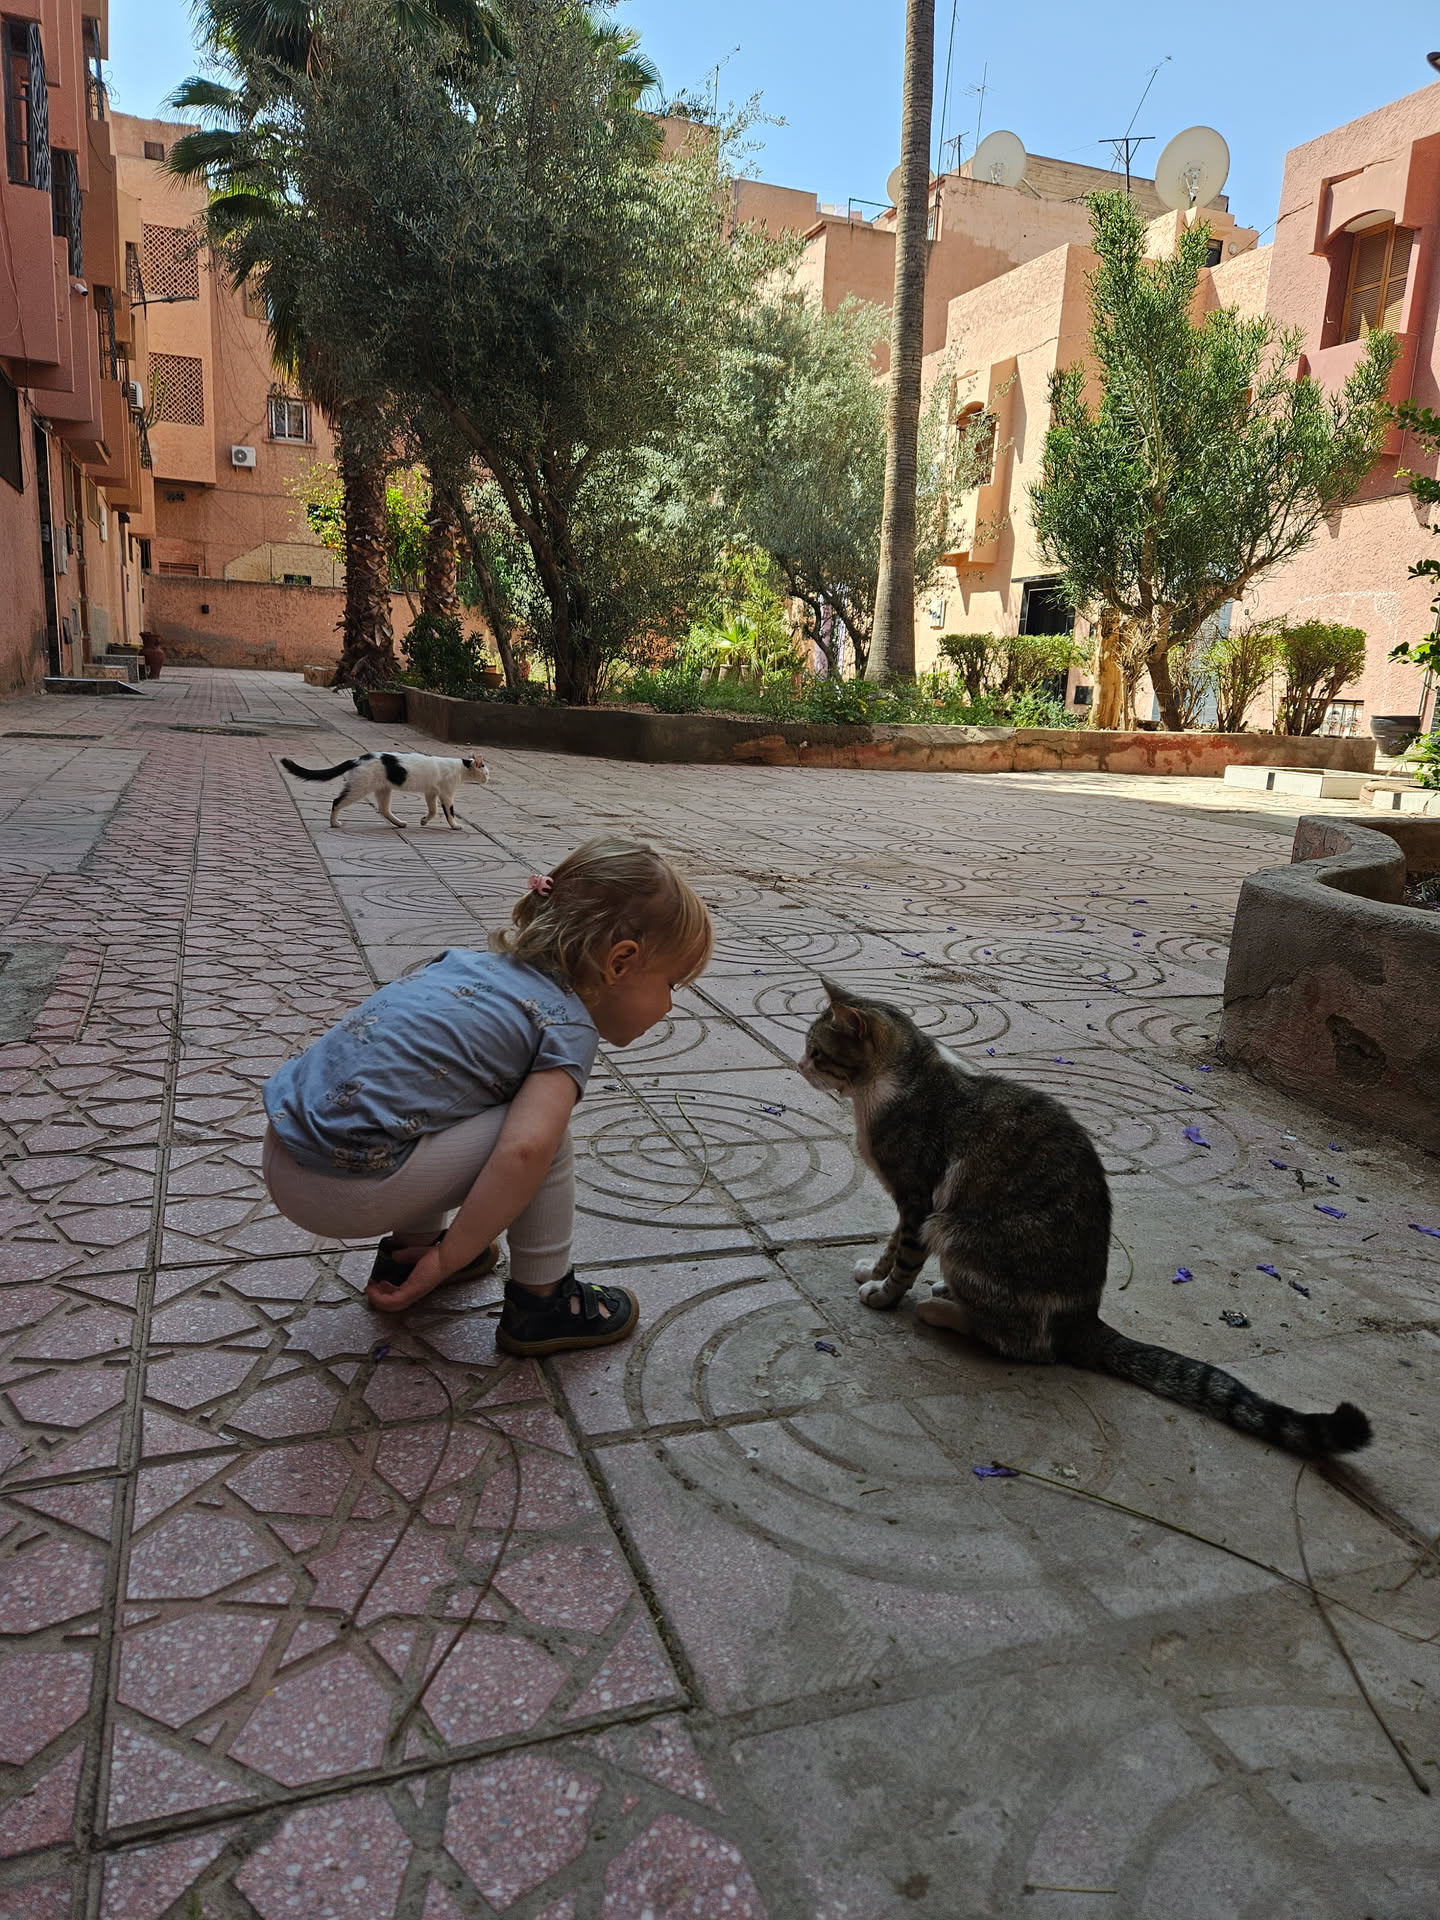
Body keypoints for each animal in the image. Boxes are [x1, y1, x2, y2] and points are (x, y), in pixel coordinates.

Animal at [280, 751, 489, 830]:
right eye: (486, 771)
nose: (489, 778)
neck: (460, 768)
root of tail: (358, 758)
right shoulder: (446, 794)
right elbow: (448, 813)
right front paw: (455, 825)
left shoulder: (431, 793)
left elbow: (432, 810)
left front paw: (423, 820)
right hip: (359, 789)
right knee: (336, 802)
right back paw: (334, 823)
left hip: (383, 790)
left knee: (384, 810)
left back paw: (400, 823)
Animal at [800, 981, 1371, 1458]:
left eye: (818, 1051)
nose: (799, 1066)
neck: (899, 1079)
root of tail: (1085, 1317)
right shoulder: (908, 1206)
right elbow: (892, 1243)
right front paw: (873, 1270)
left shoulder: (920, 1199)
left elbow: (905, 1256)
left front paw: (883, 1294)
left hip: (955, 1229)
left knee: (1029, 1344)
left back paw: (942, 1310)